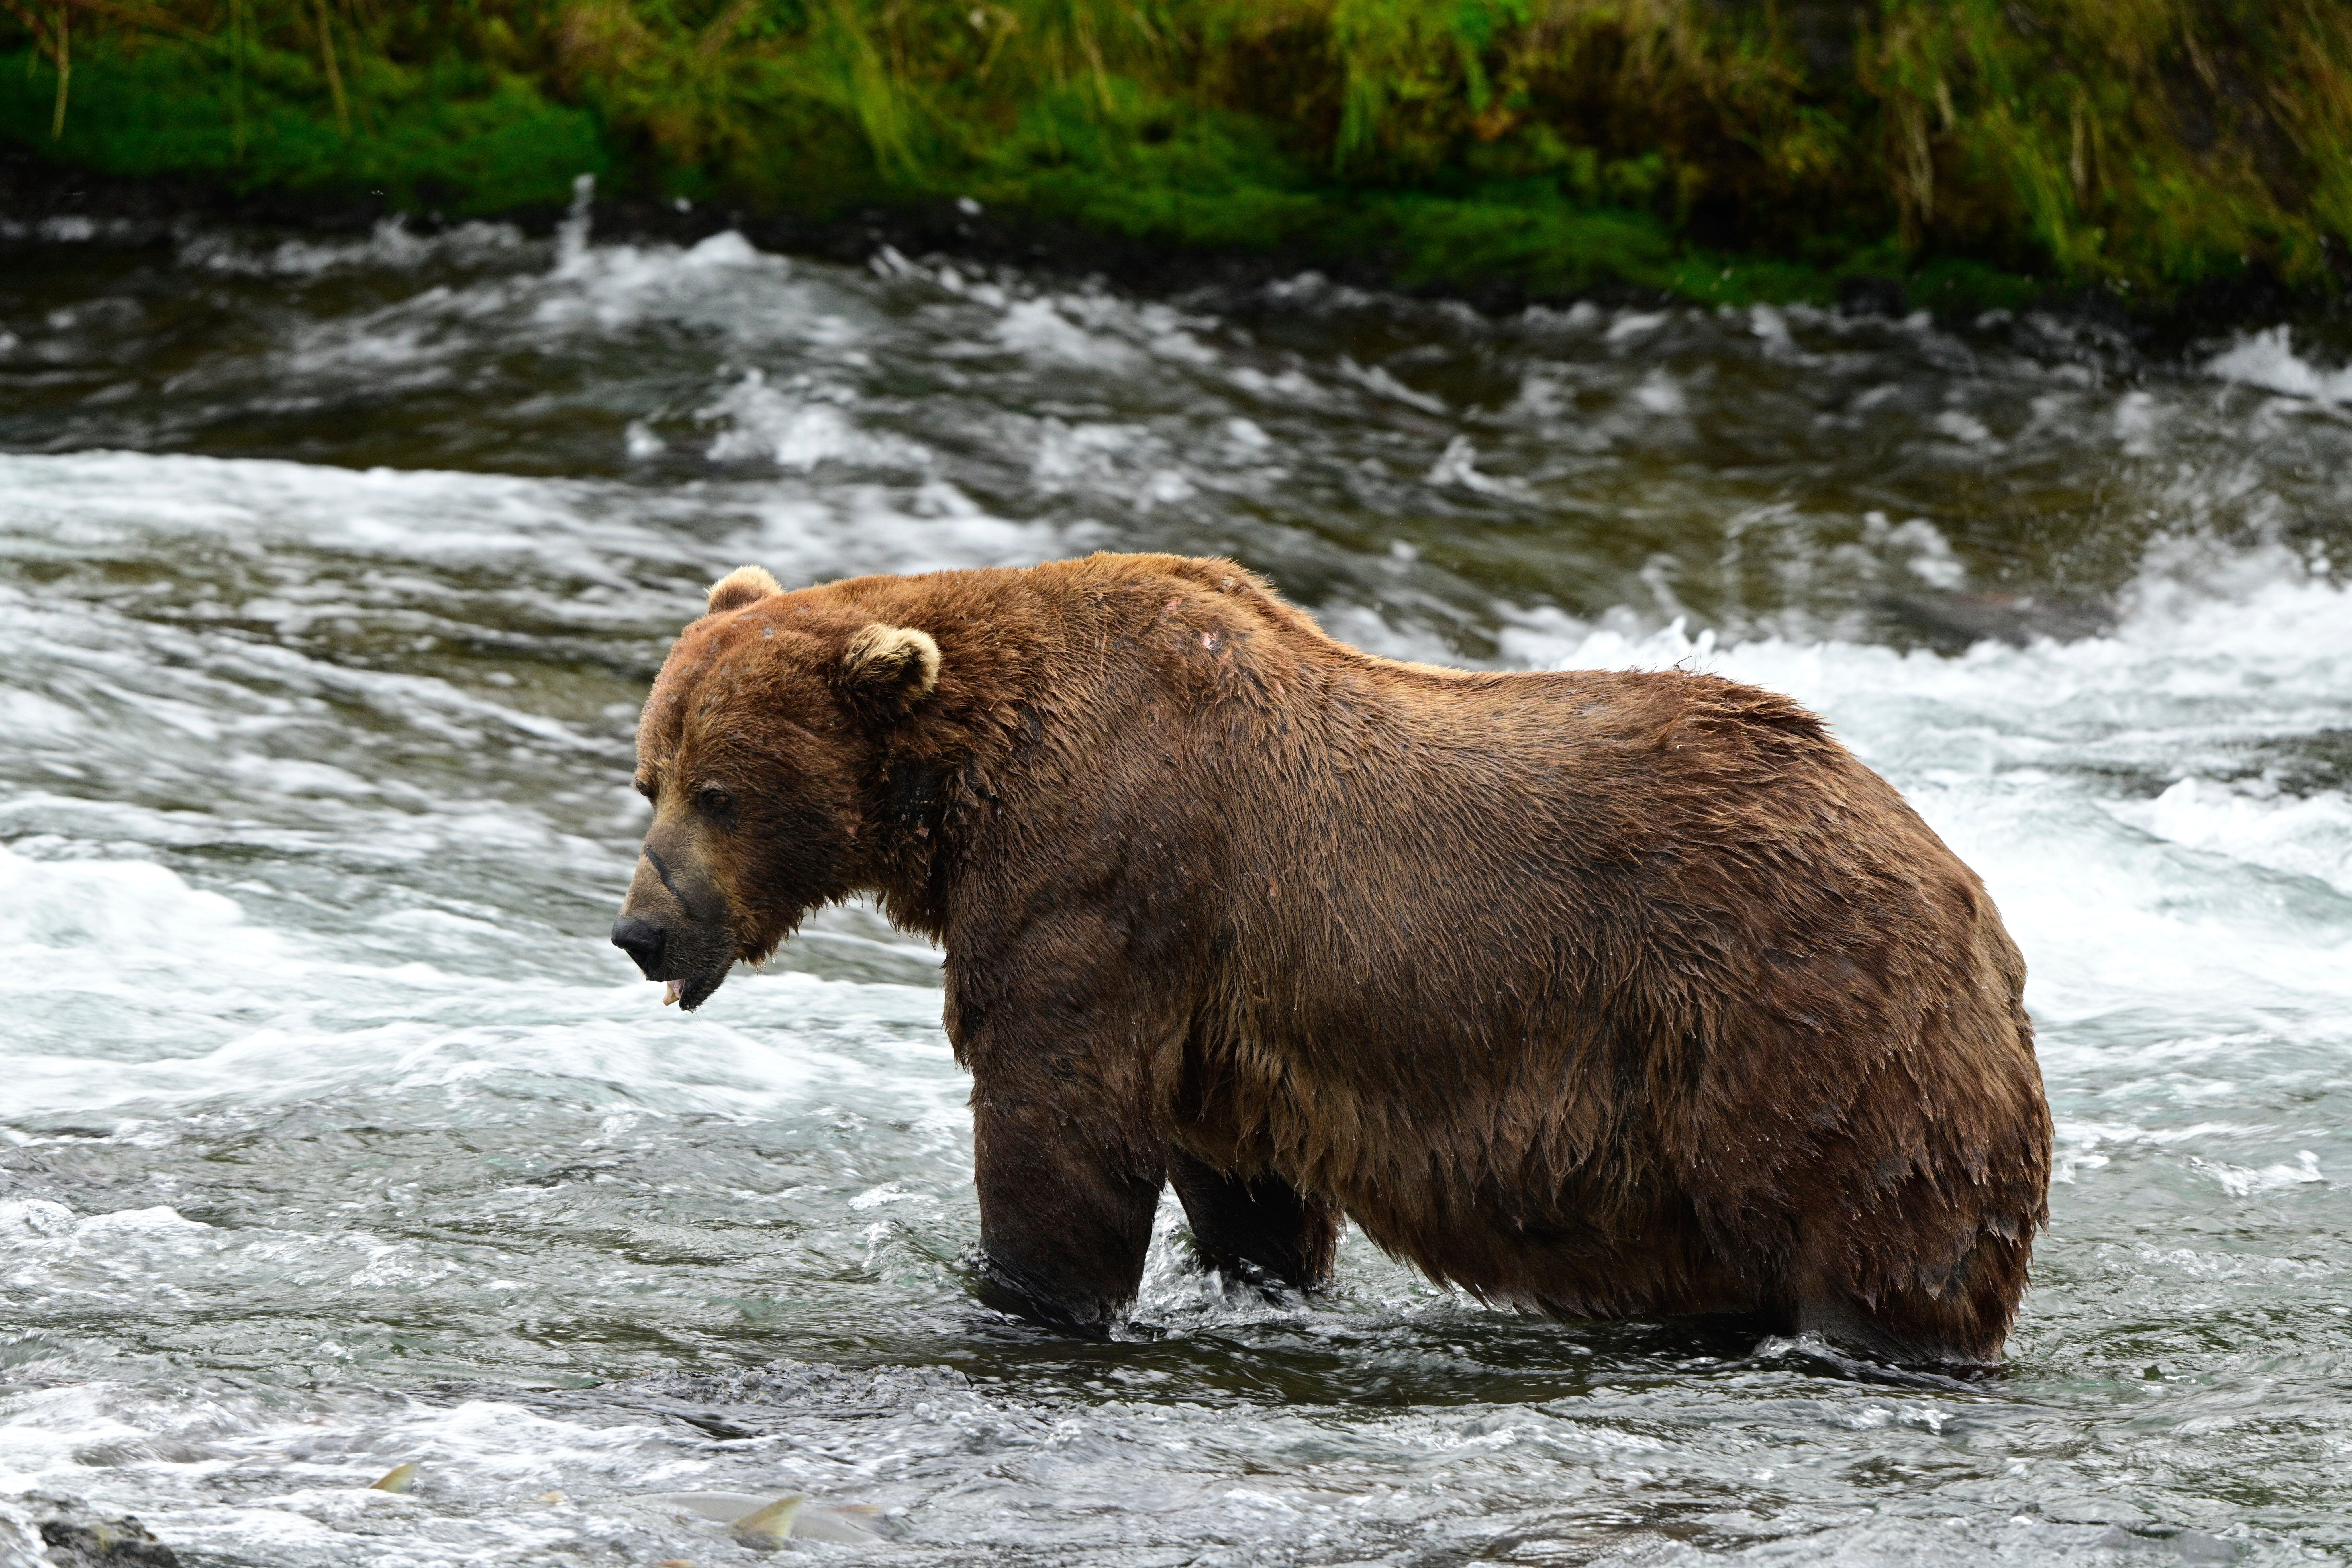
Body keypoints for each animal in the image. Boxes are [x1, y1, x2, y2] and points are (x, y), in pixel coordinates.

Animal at [611, 552, 2052, 1364]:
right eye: (649, 777)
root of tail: (1972, 901)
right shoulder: (1214, 1002)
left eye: (720, 791)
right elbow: (1238, 1181)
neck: (965, 781)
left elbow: (1056, 1122)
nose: (641, 929)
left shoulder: (1104, 877)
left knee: (1876, 1240)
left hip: (1800, 1024)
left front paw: (1019, 1296)